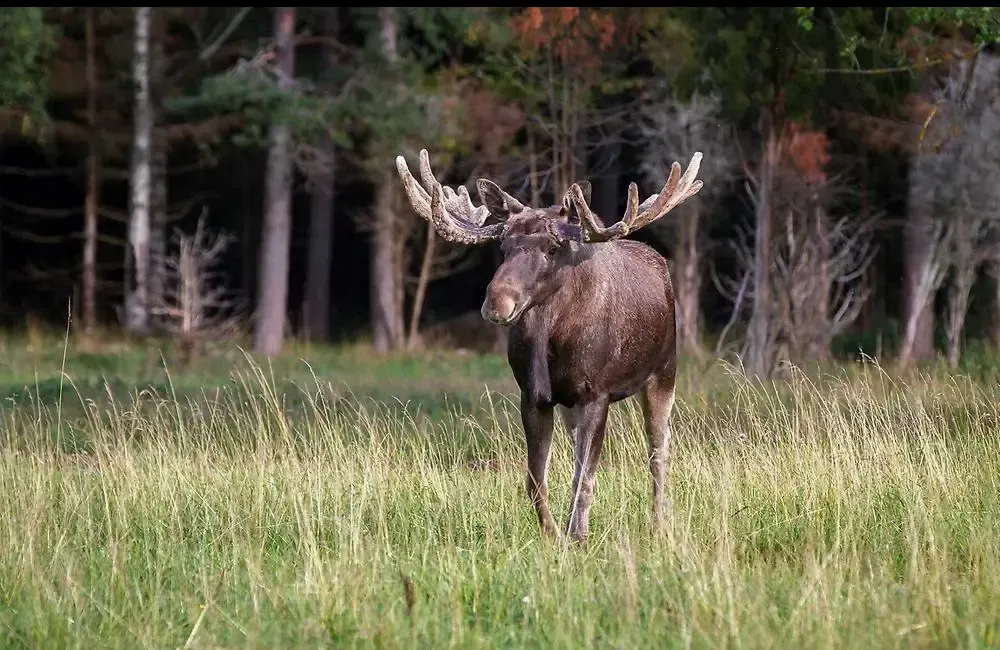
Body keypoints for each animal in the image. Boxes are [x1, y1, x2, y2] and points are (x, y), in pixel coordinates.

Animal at [392, 149, 704, 540]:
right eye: (504, 245)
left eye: (554, 247)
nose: (497, 302)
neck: (550, 341)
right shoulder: (533, 396)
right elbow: (536, 480)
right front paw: (553, 534)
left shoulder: (596, 395)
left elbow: (583, 480)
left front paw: (578, 536)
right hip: (573, 404)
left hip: (665, 372)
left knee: (659, 451)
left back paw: (660, 523)